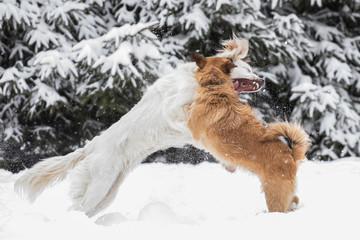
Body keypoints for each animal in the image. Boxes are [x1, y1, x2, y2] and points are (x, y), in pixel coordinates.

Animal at [14, 37, 264, 218]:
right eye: (246, 69)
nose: (262, 81)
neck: (201, 79)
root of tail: (93, 145)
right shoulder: (173, 108)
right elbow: (191, 120)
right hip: (100, 184)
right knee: (76, 209)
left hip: (108, 191)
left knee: (83, 210)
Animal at [184, 53, 310, 213]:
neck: (215, 85)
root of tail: (291, 155)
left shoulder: (193, 126)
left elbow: (186, 108)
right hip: (285, 193)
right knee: (294, 199)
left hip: (274, 195)